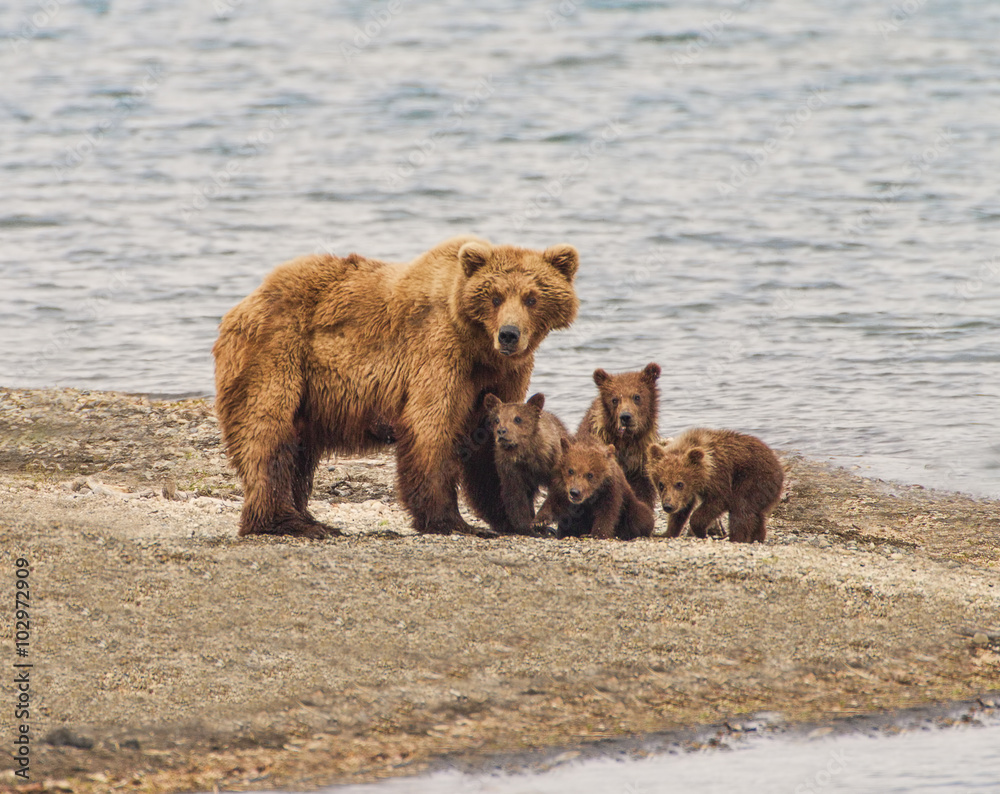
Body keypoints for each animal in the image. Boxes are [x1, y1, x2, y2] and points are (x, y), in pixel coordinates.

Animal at [483, 392, 570, 534]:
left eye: (517, 419)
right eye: (497, 419)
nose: (501, 431)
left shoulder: (553, 460)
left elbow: (557, 491)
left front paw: (540, 521)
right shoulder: (511, 469)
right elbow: (516, 495)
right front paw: (525, 526)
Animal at [576, 362, 661, 509]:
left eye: (637, 396)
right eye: (614, 399)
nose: (625, 416)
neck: (626, 440)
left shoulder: (640, 459)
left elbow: (643, 491)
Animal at [647, 428, 784, 543]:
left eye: (680, 484)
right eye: (661, 484)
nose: (668, 506)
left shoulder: (719, 477)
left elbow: (719, 500)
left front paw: (700, 530)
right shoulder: (687, 493)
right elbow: (682, 510)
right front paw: (666, 533)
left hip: (754, 479)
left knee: (741, 508)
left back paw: (736, 538)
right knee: (756, 514)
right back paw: (757, 537)